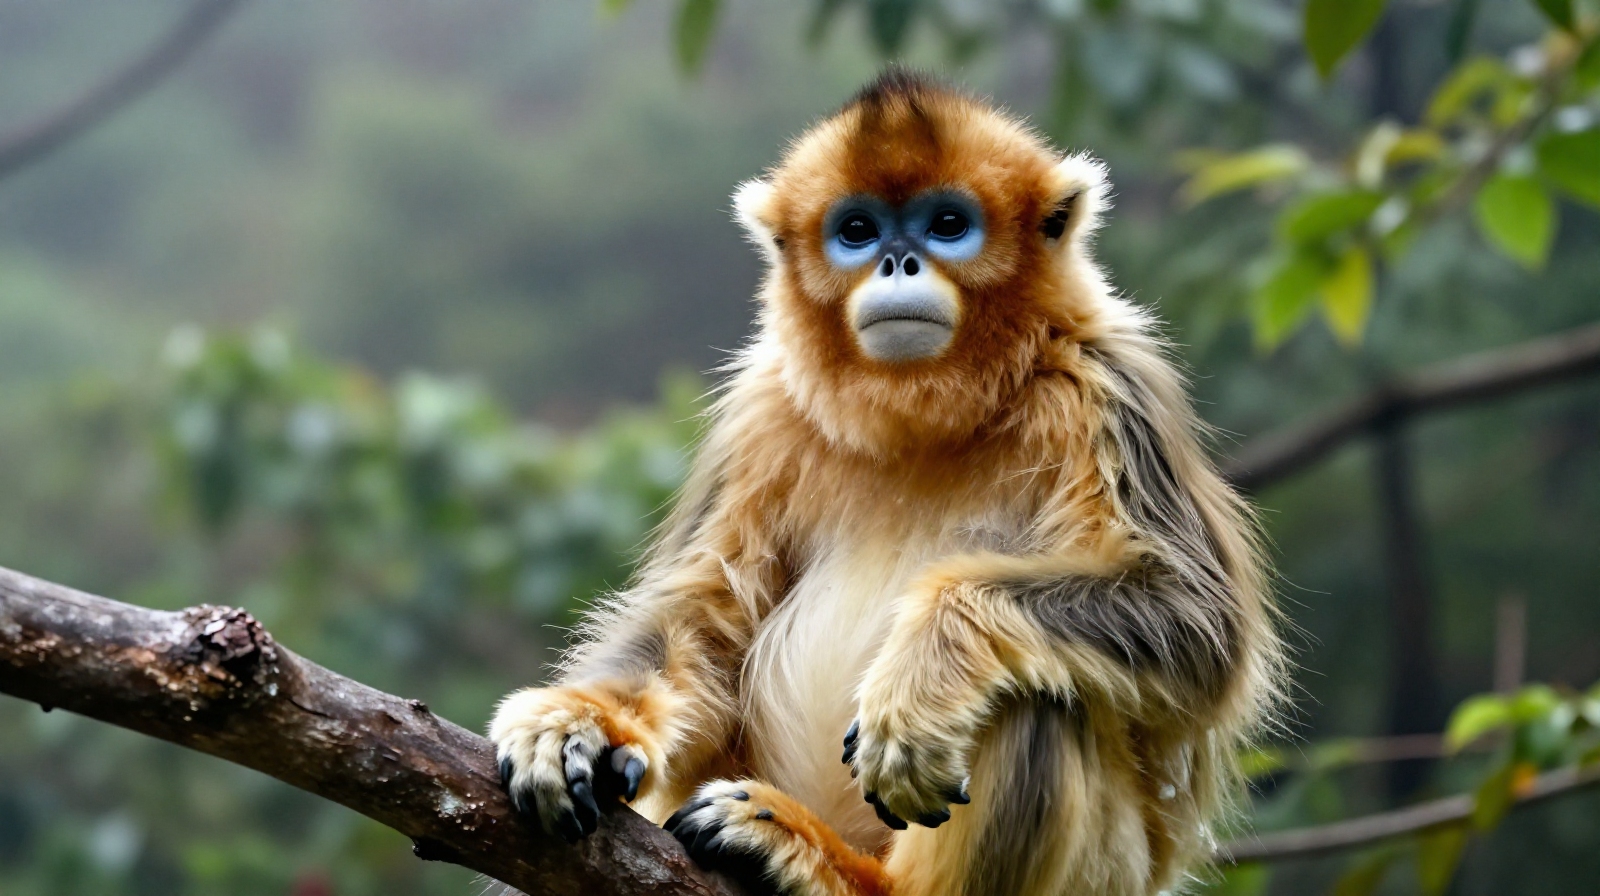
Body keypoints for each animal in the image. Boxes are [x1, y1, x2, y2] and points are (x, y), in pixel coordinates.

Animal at [489, 69, 1283, 896]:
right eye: (859, 232)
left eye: (946, 224)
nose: (898, 263)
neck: (925, 420)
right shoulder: (763, 412)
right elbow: (700, 617)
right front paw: (577, 725)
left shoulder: (1106, 385)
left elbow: (1198, 620)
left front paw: (919, 680)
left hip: (1110, 870)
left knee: (1034, 694)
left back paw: (839, 868)